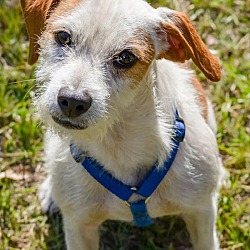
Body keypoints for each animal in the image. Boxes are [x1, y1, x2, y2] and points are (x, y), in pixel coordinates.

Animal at [21, 0, 227, 249]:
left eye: (126, 57)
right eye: (63, 37)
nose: (72, 101)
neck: (119, 143)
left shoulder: (201, 213)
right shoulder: (79, 225)